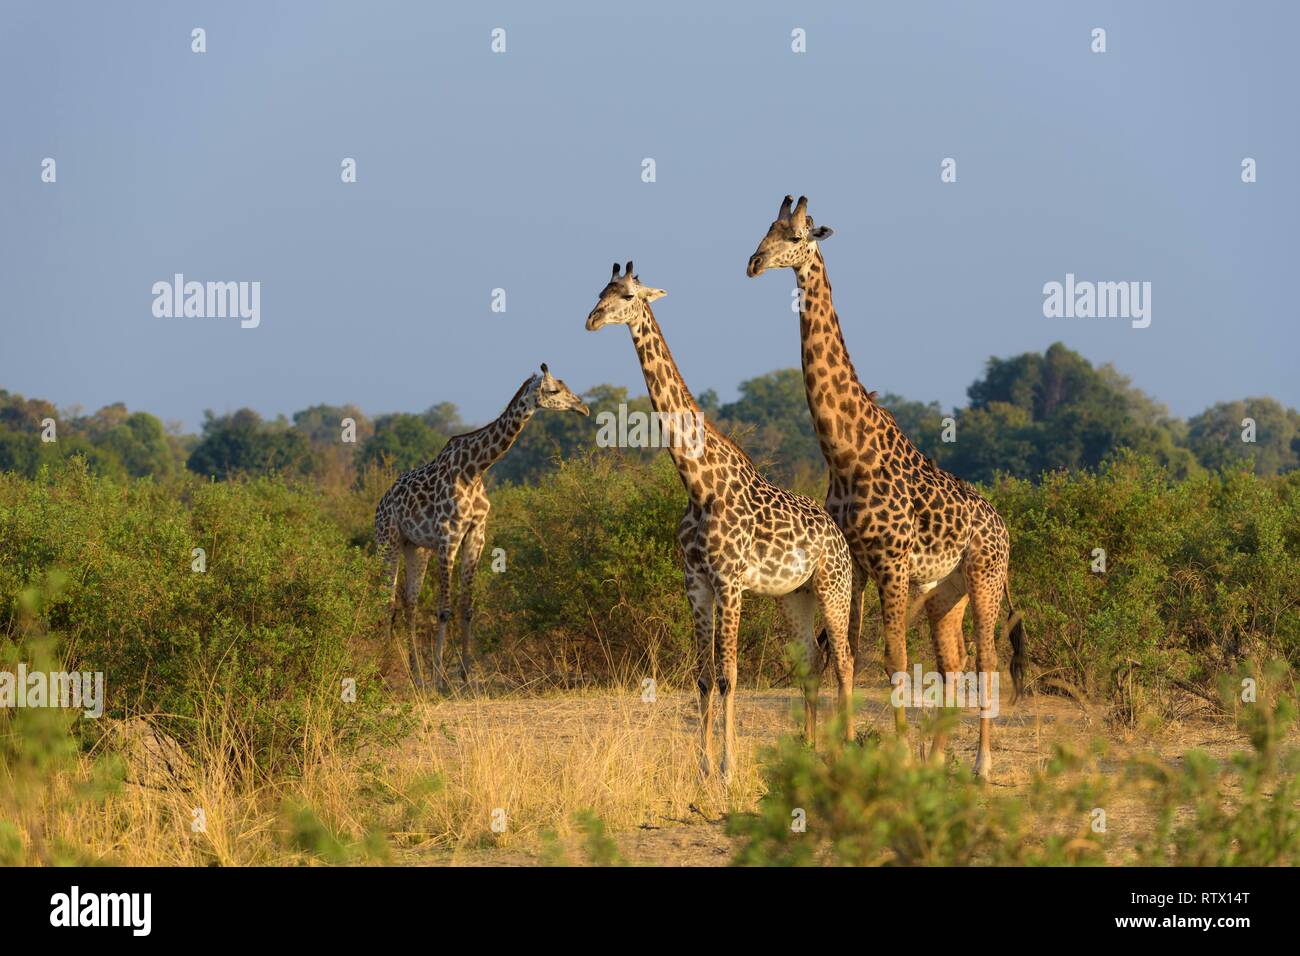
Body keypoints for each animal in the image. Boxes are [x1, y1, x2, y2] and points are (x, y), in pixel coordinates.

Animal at [377, 361, 590, 691]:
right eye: (555, 390)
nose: (583, 408)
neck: (474, 470)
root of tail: (381, 502)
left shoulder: (475, 535)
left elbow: (467, 608)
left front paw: (465, 675)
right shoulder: (448, 536)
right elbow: (444, 609)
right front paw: (439, 677)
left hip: (416, 547)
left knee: (409, 602)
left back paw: (415, 673)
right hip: (388, 540)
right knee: (387, 601)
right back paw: (385, 667)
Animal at [587, 260, 852, 780]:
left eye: (626, 295)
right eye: (599, 292)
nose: (590, 319)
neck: (698, 485)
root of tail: (839, 537)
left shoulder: (730, 582)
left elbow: (729, 676)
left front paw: (729, 768)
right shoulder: (696, 583)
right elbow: (704, 676)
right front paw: (704, 767)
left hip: (836, 588)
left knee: (846, 662)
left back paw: (850, 748)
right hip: (795, 596)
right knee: (811, 663)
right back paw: (809, 751)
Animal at [754, 195, 1024, 780]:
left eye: (796, 236)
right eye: (765, 231)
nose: (754, 263)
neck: (845, 454)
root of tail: (1003, 526)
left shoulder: (892, 563)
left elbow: (894, 658)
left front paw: (896, 754)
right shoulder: (854, 564)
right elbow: (850, 653)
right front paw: (846, 748)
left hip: (985, 576)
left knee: (987, 657)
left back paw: (981, 764)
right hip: (946, 593)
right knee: (953, 660)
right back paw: (939, 757)